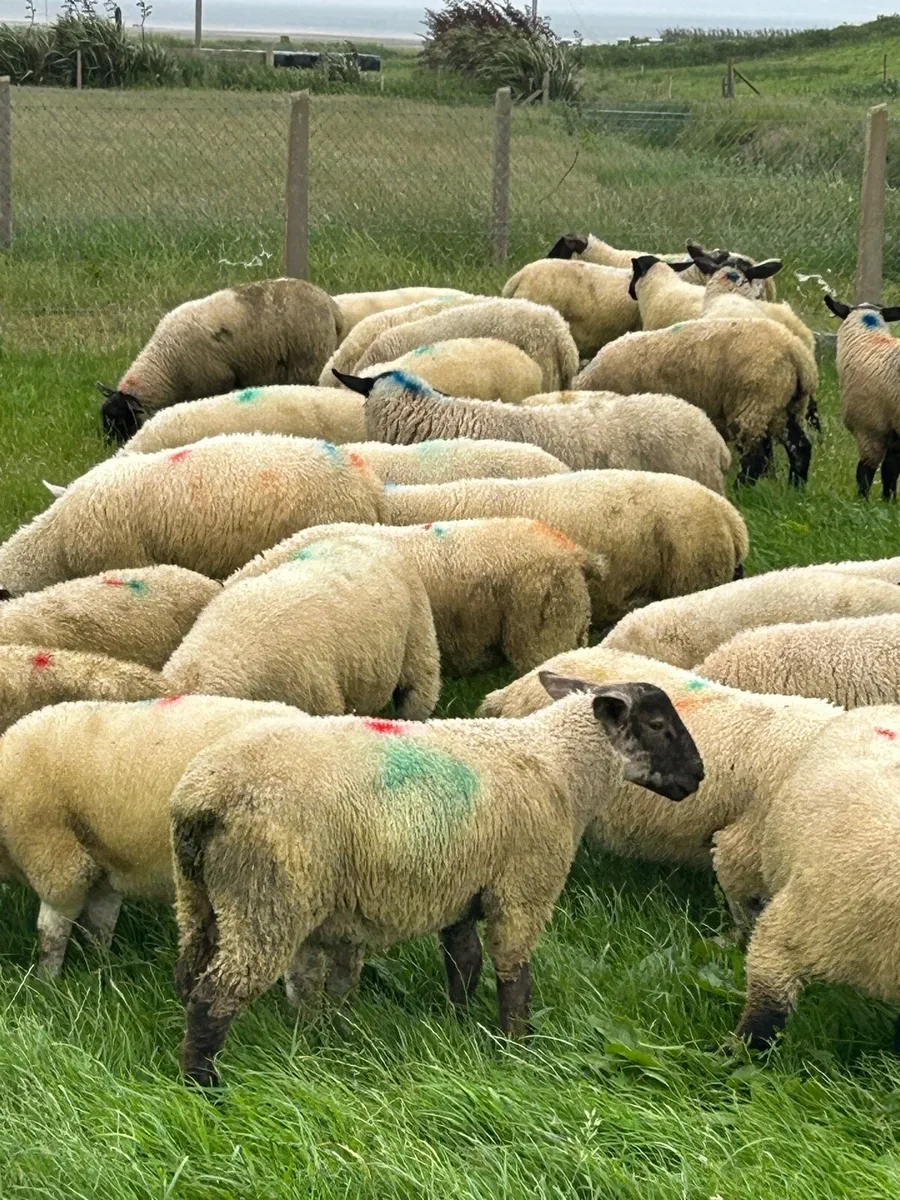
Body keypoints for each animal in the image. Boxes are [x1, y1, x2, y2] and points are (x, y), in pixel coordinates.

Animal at [0, 695, 302, 975]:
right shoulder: (104, 863)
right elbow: (100, 925)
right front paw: (99, 970)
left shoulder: (56, 859)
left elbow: (51, 933)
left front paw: (47, 982)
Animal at [99, 279, 344, 443]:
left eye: (121, 421)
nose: (107, 448)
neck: (164, 363)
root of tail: (331, 305)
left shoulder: (216, 381)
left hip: (310, 360)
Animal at [169, 677, 704, 1085]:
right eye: (658, 725)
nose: (699, 775)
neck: (561, 764)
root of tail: (202, 798)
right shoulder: (523, 888)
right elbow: (514, 976)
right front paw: (519, 1050)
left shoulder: (461, 890)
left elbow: (463, 963)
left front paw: (458, 1023)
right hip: (266, 899)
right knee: (215, 996)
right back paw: (205, 1086)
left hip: (199, 896)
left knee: (197, 978)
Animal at [574, 316, 817, 486]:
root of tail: (796, 352)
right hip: (785, 406)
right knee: (800, 447)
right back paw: (796, 489)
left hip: (756, 401)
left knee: (756, 458)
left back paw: (742, 490)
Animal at [823, 296, 900, 499]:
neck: (869, 341)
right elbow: (890, 470)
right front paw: (888, 501)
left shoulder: (869, 427)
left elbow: (866, 471)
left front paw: (863, 501)